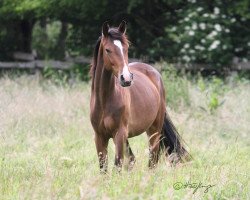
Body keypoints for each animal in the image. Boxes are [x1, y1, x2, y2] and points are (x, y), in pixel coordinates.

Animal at [90, 21, 189, 173]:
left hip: (154, 131)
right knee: (132, 159)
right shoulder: (100, 136)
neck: (104, 100)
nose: (126, 78)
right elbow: (104, 168)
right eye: (107, 50)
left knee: (153, 159)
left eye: (126, 48)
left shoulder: (120, 134)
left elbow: (117, 165)